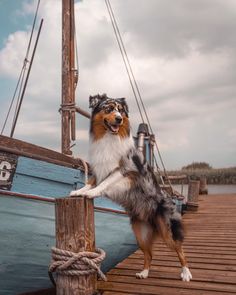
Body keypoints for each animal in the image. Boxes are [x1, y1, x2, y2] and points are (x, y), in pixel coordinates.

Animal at [70, 94, 192, 282]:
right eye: (108, 108)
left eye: (121, 110)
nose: (119, 119)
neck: (109, 138)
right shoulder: (99, 168)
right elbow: (91, 181)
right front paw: (79, 191)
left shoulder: (125, 170)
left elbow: (105, 183)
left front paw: (92, 193)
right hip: (140, 233)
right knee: (149, 254)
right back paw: (144, 273)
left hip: (167, 230)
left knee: (180, 249)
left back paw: (186, 273)